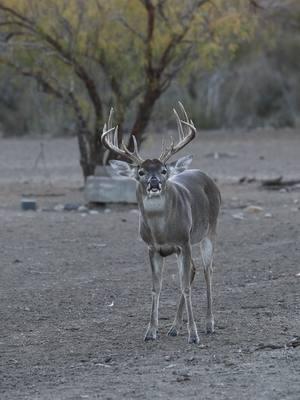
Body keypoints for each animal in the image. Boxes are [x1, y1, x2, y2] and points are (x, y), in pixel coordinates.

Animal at [102, 103, 221, 344]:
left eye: (163, 170)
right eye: (141, 171)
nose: (155, 182)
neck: (161, 231)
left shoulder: (183, 241)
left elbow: (185, 286)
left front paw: (193, 334)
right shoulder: (153, 248)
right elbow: (156, 287)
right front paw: (150, 331)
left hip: (209, 231)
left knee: (207, 270)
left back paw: (209, 324)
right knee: (194, 270)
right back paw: (174, 327)